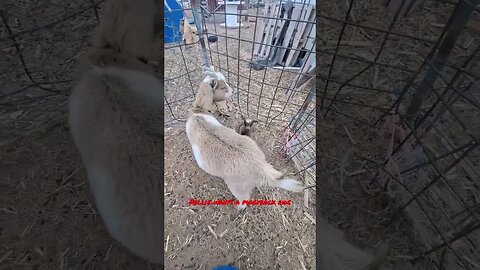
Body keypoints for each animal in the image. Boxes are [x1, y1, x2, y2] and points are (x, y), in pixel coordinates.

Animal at [186, 66, 306, 210]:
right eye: (223, 87)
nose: (232, 90)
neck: (198, 111)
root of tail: (262, 169)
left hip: (237, 187)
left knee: (244, 199)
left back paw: (238, 208)